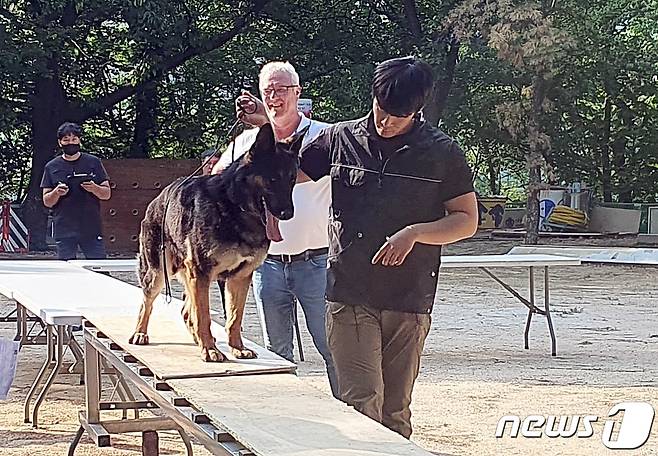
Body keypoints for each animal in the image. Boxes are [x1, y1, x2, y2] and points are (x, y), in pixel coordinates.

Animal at [129, 123, 302, 362]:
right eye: (273, 179)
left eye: (292, 179)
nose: (288, 214)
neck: (233, 205)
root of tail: (156, 200)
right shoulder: (201, 272)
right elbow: (204, 317)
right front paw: (211, 350)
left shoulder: (239, 277)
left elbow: (234, 317)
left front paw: (236, 347)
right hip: (159, 274)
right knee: (147, 302)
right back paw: (140, 333)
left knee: (186, 312)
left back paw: (198, 341)